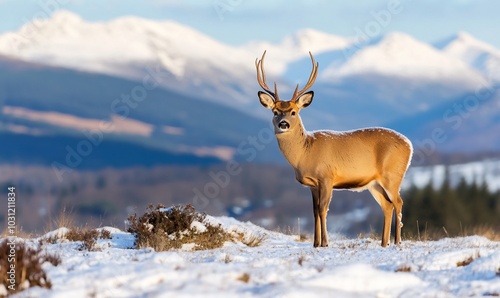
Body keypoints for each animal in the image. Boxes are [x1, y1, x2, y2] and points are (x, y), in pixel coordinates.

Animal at [256, 51, 412, 247]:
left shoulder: (327, 176)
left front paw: (325, 243)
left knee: (399, 202)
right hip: (374, 183)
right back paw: (384, 243)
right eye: (275, 112)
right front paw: (315, 243)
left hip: (392, 175)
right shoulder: (312, 184)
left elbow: (323, 209)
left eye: (293, 112)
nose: (283, 124)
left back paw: (397, 242)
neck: (304, 153)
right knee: (387, 205)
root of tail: (409, 145)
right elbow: (314, 210)